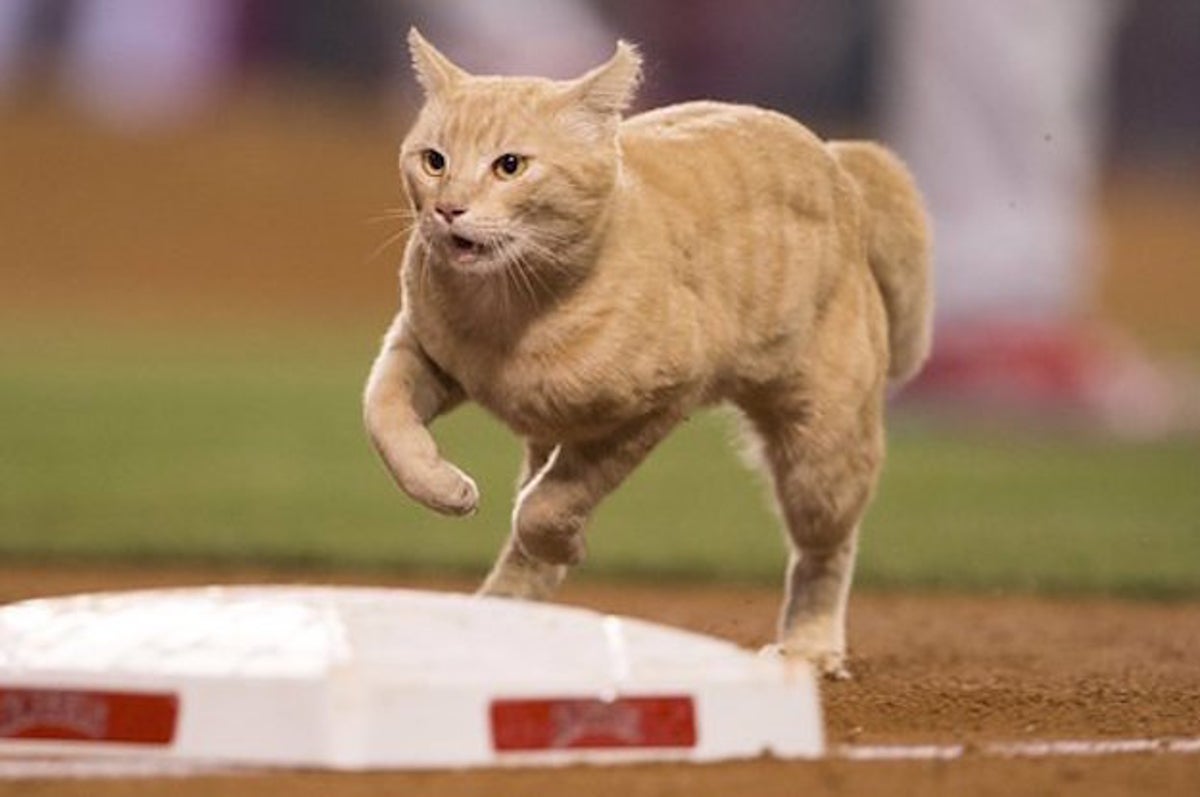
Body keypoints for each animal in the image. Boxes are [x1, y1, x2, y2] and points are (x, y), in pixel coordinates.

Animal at [360, 31, 931, 676]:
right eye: (434, 160)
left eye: (510, 165)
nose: (448, 208)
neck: (509, 312)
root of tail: (839, 162)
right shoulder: (419, 348)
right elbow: (384, 417)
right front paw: (442, 486)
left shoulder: (657, 403)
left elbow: (552, 503)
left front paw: (564, 540)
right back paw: (505, 613)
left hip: (825, 448)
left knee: (825, 551)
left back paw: (809, 649)